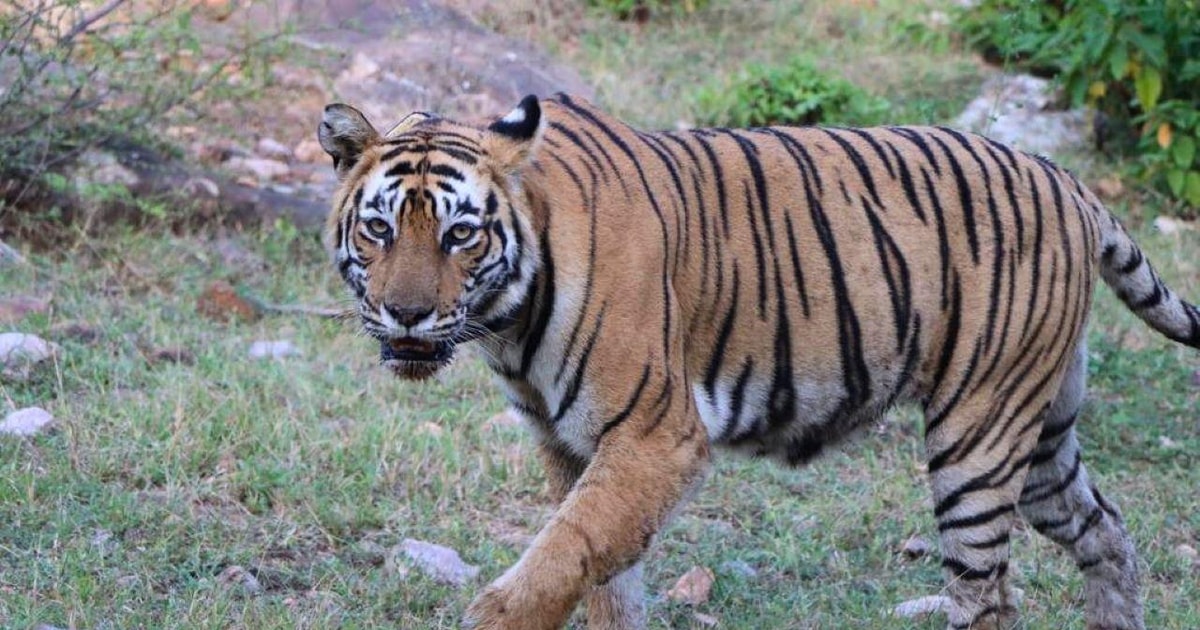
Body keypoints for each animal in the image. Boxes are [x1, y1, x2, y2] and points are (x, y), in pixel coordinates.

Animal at [316, 93, 1200, 630]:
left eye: (461, 234)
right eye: (380, 229)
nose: (406, 312)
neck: (508, 322)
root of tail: (1069, 182)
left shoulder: (655, 435)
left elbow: (564, 555)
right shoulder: (570, 445)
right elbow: (599, 573)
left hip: (977, 441)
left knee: (990, 599)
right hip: (1042, 434)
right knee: (1107, 533)